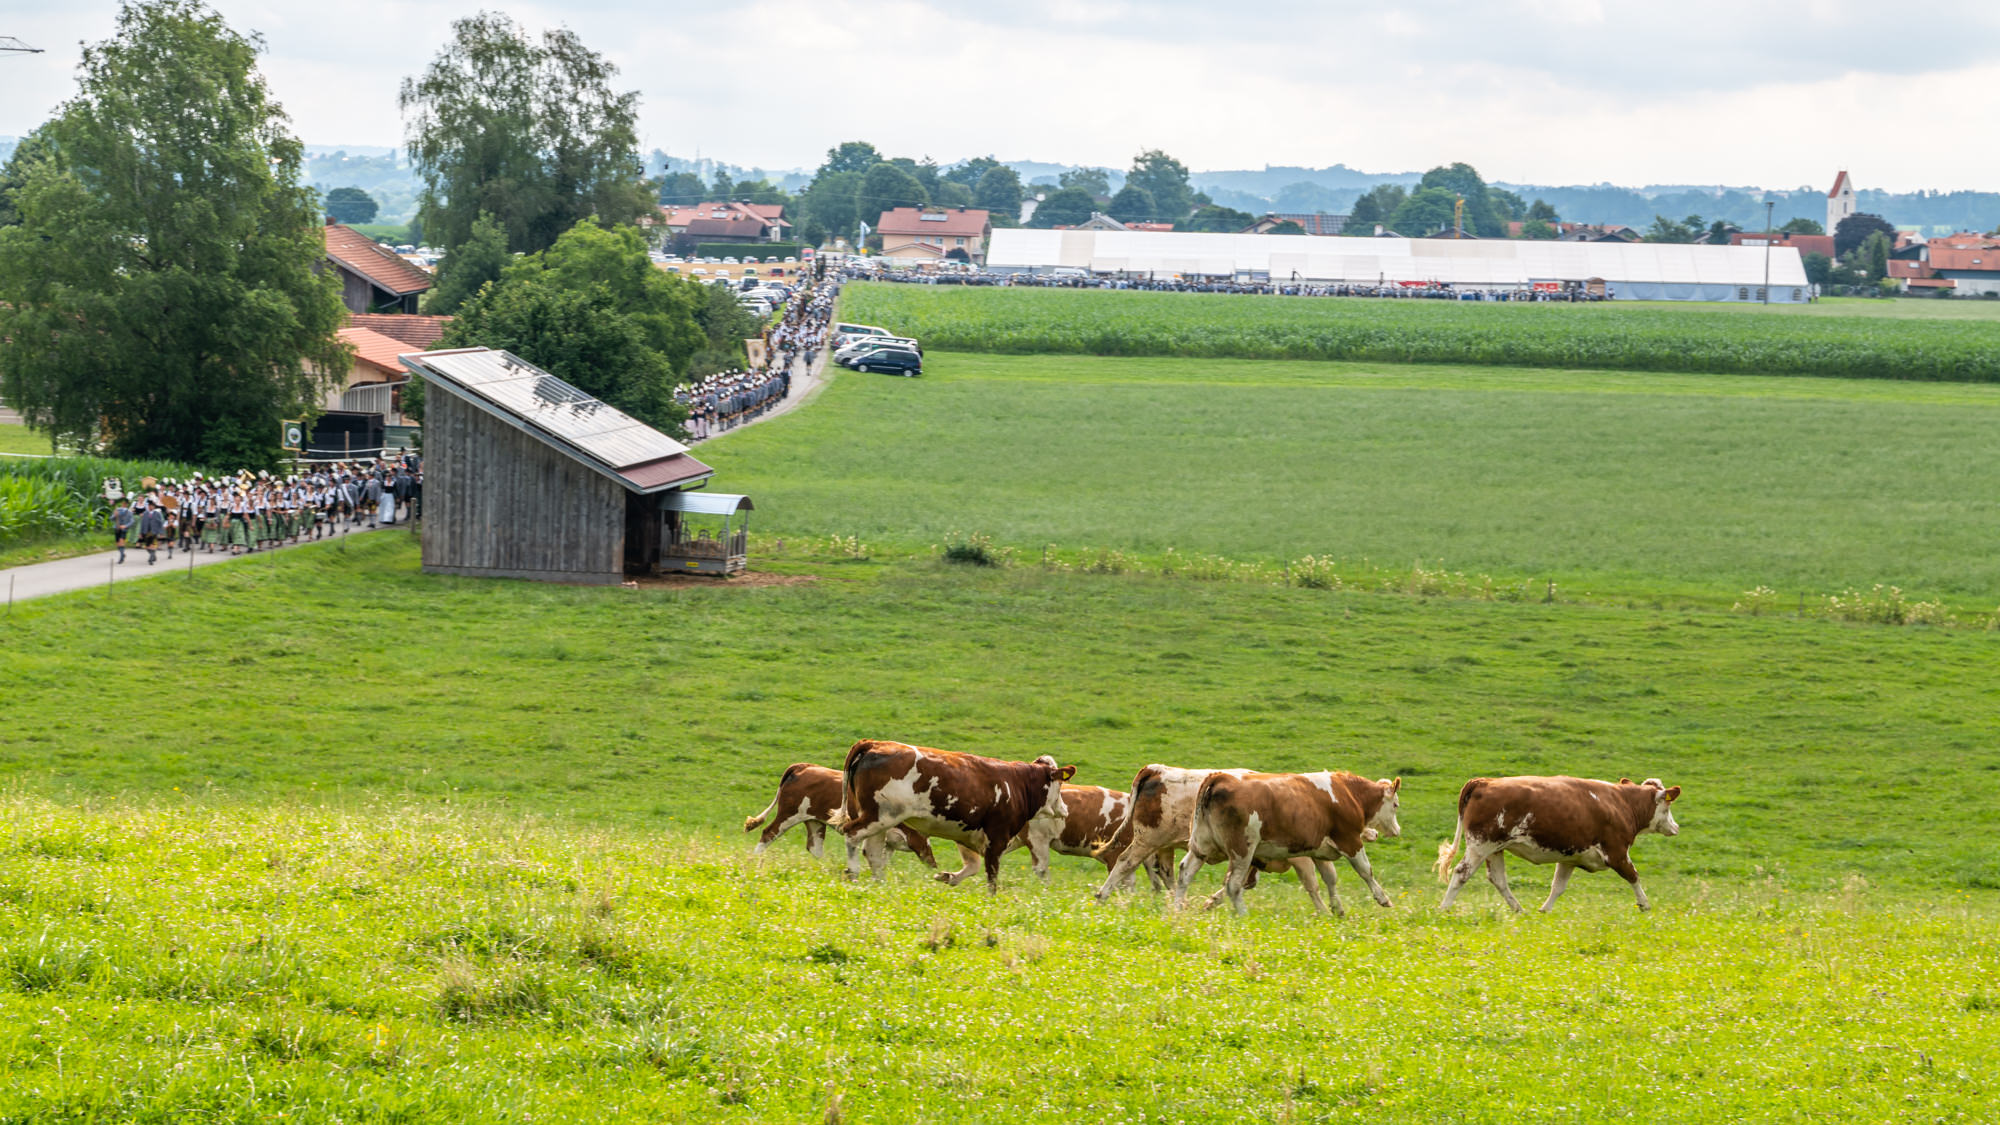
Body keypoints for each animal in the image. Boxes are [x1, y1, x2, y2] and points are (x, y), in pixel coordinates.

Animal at [742, 762, 939, 868]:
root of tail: (803, 766)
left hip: (814, 820)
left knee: (815, 847)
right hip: (788, 814)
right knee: (769, 833)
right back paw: (755, 859)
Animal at [834, 739, 1075, 892]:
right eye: (1061, 784)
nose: (1065, 809)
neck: (1016, 784)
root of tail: (874, 743)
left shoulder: (967, 832)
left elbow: (972, 866)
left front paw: (947, 877)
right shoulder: (997, 836)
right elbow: (991, 876)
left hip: (878, 818)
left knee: (873, 852)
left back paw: (880, 885)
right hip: (880, 815)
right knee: (851, 834)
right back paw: (853, 873)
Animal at [1175, 771, 1403, 916]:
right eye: (1395, 805)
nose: (1397, 830)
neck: (1347, 793)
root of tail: (1220, 777)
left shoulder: (1318, 849)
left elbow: (1330, 878)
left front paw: (1336, 909)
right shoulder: (1349, 840)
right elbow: (1366, 871)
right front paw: (1383, 899)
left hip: (1201, 846)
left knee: (1185, 872)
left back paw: (1178, 910)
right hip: (1242, 850)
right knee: (1233, 884)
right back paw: (1243, 914)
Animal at [1435, 776, 1683, 913]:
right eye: (1668, 807)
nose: (1676, 826)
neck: (1622, 803)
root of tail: (1484, 782)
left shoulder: (1571, 856)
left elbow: (1558, 886)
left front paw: (1545, 909)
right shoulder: (1616, 852)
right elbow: (1633, 876)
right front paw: (1645, 905)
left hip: (1495, 849)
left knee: (1498, 878)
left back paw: (1519, 910)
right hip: (1481, 845)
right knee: (1461, 873)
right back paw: (1444, 908)